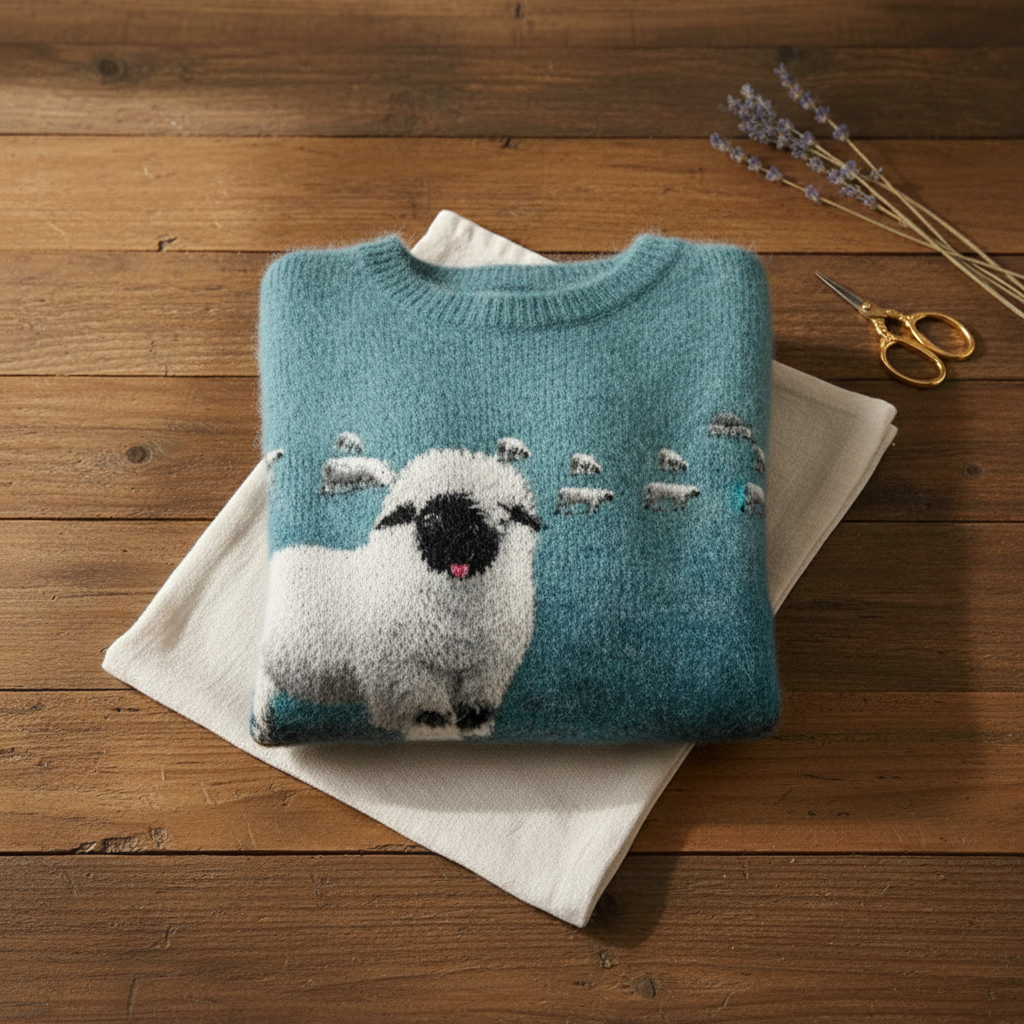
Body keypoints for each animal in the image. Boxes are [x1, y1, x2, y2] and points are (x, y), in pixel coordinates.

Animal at [256, 448, 543, 741]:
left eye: (500, 514)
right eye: (428, 519)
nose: (460, 545)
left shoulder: (488, 667)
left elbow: (475, 704)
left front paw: (475, 725)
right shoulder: (402, 667)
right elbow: (426, 708)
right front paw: (432, 730)